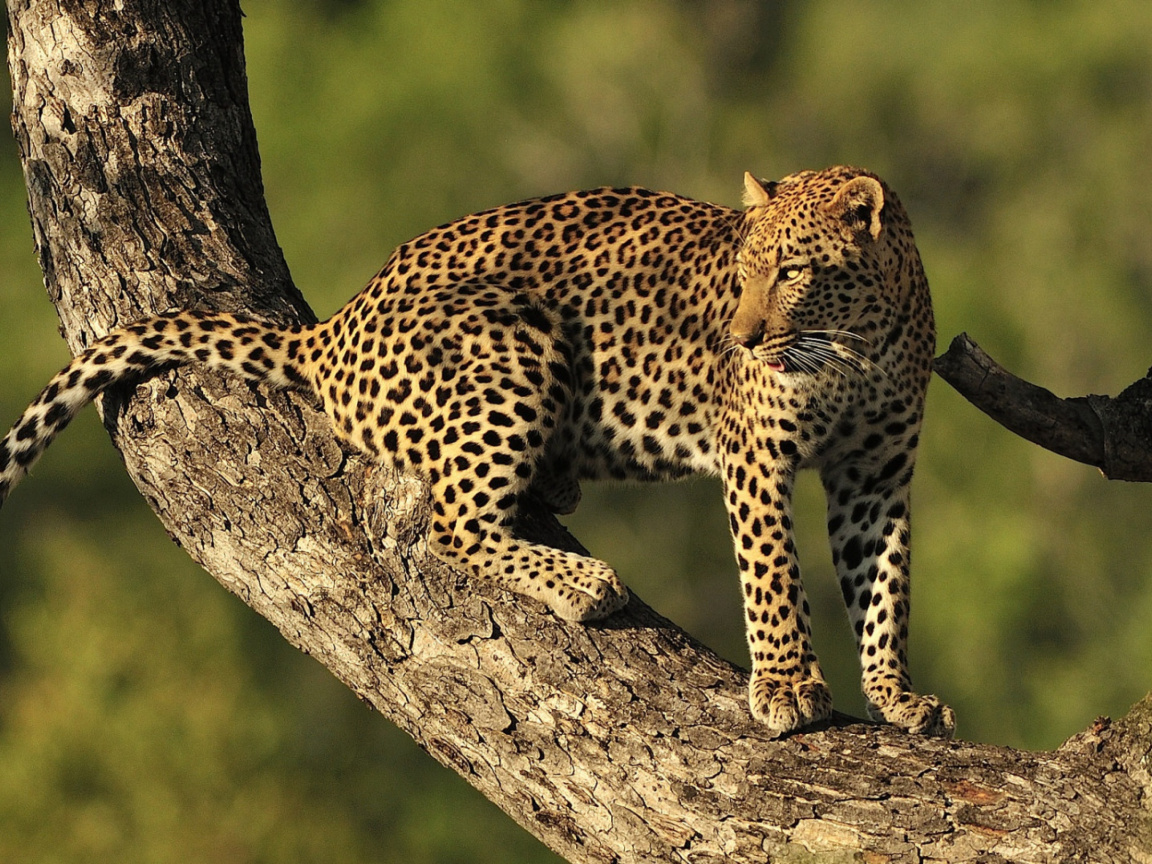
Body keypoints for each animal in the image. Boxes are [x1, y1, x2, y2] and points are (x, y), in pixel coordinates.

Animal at [0, 167, 953, 737]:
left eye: (791, 271)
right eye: (743, 271)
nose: (741, 338)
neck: (859, 343)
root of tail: (330, 330)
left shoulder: (877, 476)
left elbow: (885, 587)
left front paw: (898, 696)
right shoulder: (756, 457)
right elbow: (774, 575)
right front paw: (788, 686)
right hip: (513, 343)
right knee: (452, 525)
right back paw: (583, 583)